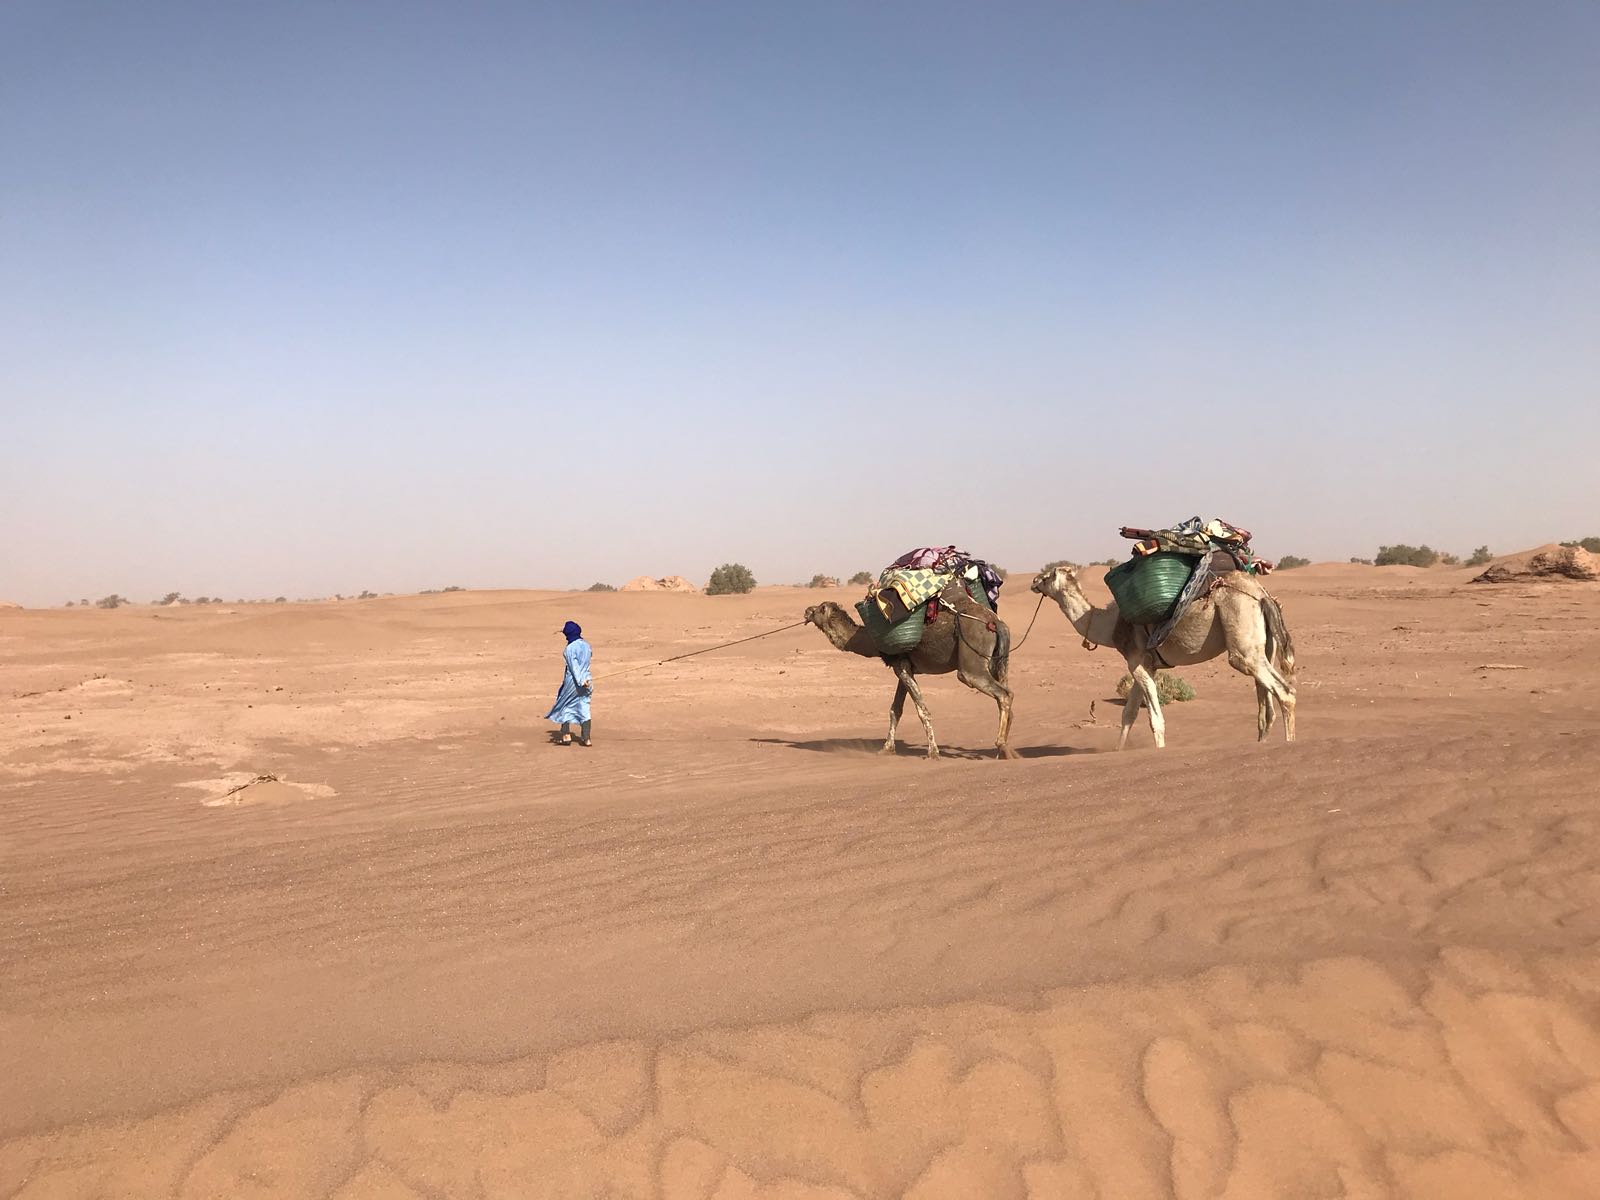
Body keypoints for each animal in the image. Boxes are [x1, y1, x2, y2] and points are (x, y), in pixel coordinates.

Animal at [803, 587, 1015, 760]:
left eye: (820, 608)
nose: (807, 610)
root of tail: (995, 622)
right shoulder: (904, 667)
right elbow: (895, 709)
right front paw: (886, 749)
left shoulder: (901, 665)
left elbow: (922, 710)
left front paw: (933, 753)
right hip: (999, 661)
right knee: (1006, 694)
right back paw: (1006, 751)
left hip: (971, 658)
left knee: (1001, 693)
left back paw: (1002, 746)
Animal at [1030, 564, 1296, 749]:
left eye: (1048, 576)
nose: (1033, 581)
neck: (1111, 626)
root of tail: (1261, 595)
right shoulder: (1149, 665)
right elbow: (1128, 714)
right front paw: (1118, 751)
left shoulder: (1137, 661)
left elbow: (1155, 720)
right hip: (1263, 646)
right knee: (1267, 708)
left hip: (1242, 643)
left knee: (1285, 692)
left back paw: (1289, 743)